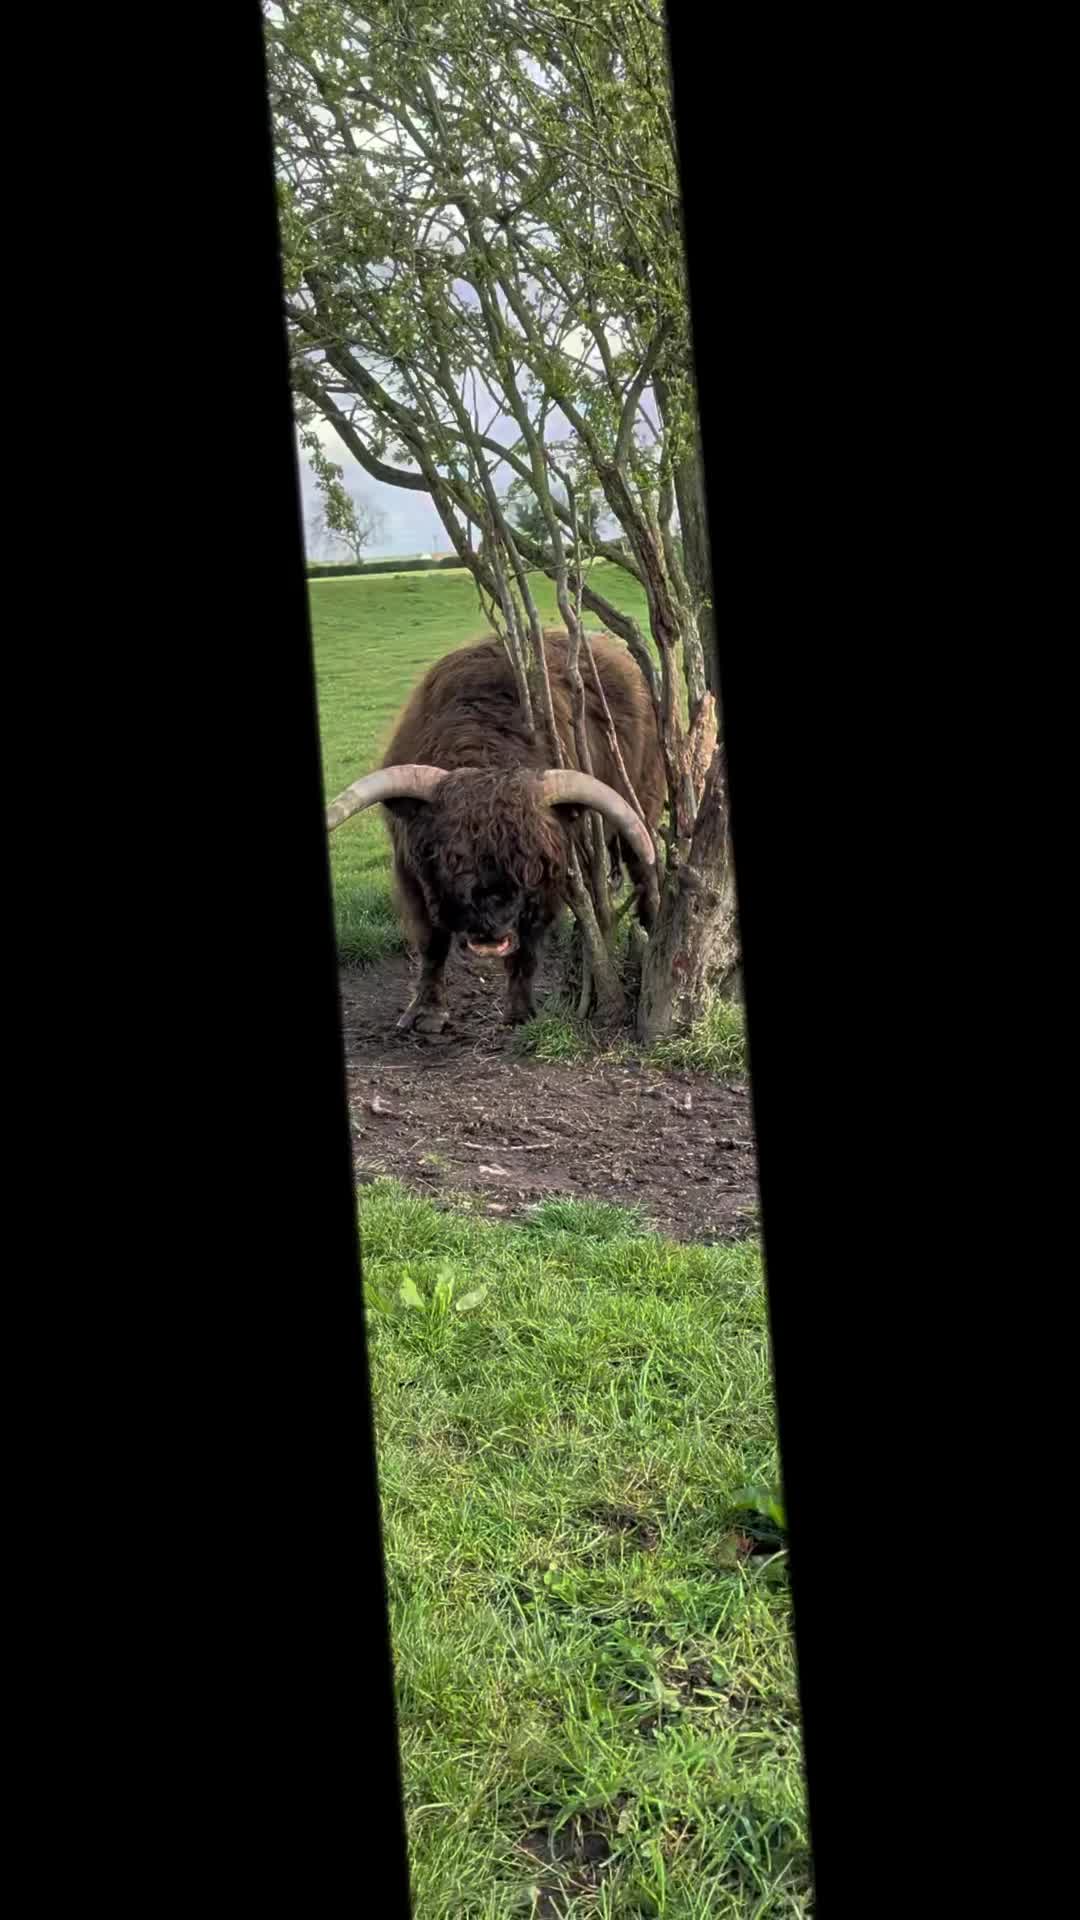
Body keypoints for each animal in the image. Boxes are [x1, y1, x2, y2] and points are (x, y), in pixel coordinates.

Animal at [325, 628, 665, 1032]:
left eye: (532, 865)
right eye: (449, 861)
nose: (490, 930)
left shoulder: (552, 882)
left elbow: (527, 949)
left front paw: (520, 1011)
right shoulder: (411, 872)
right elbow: (431, 942)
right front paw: (427, 1011)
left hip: (642, 803)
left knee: (644, 871)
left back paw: (652, 930)